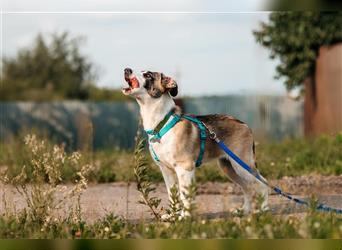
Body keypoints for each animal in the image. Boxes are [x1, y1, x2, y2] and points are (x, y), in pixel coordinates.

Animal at [121, 67, 268, 218]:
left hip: (242, 165)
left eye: (148, 75)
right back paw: (244, 210)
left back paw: (262, 210)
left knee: (262, 184)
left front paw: (185, 216)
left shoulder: (185, 168)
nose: (127, 69)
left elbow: (185, 195)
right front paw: (173, 216)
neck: (162, 123)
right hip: (229, 167)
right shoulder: (166, 170)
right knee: (248, 187)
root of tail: (244, 124)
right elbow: (172, 195)